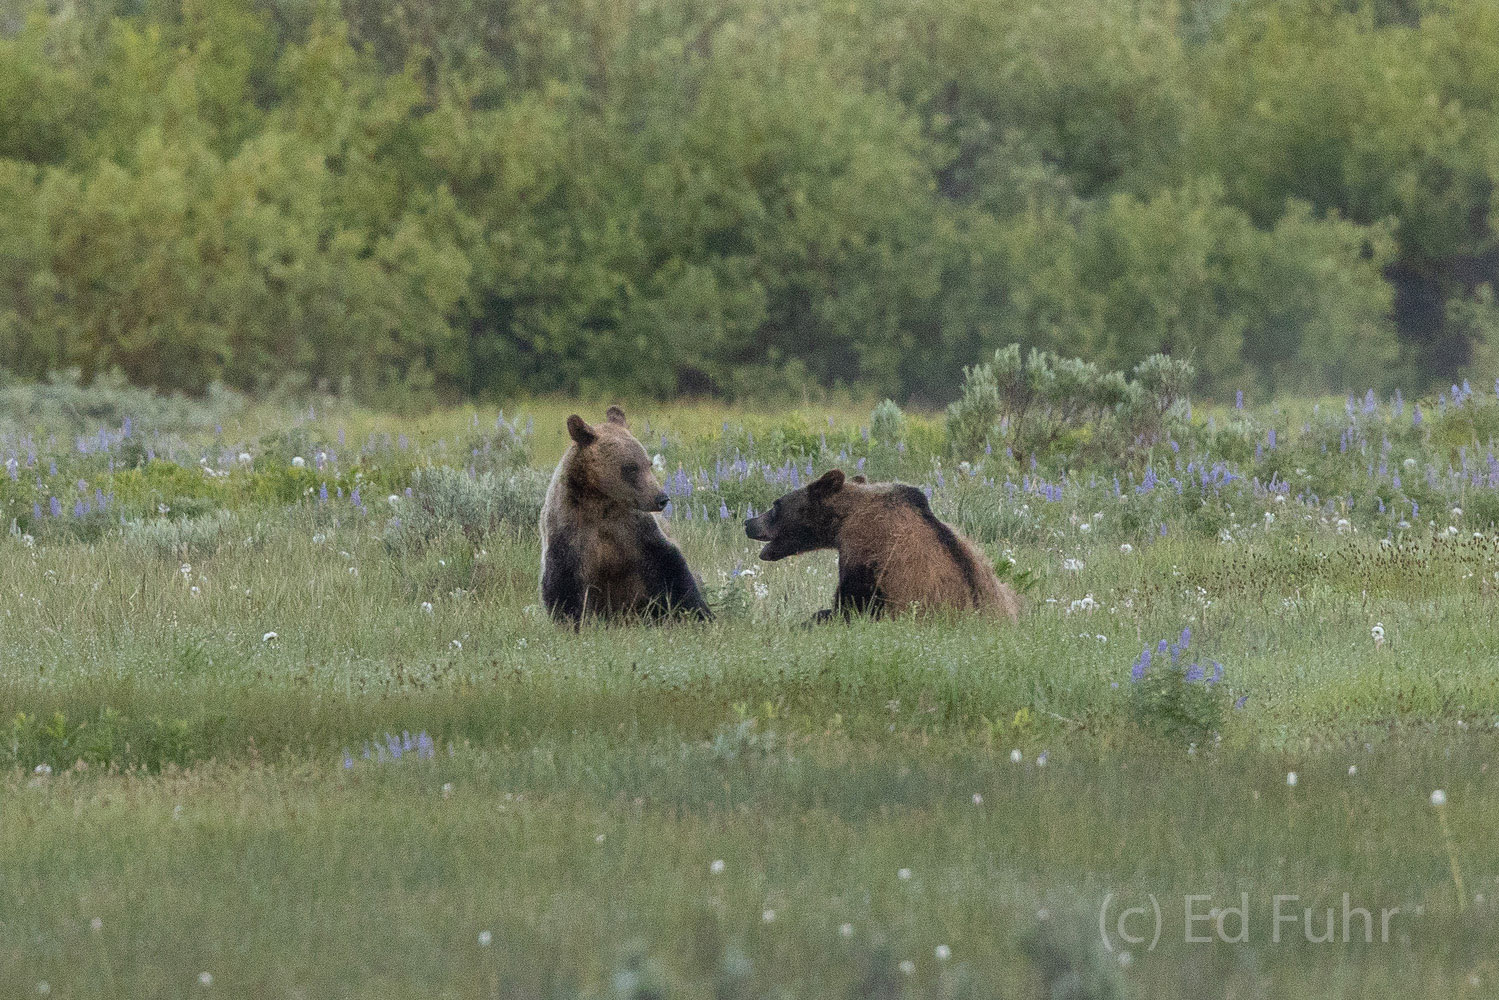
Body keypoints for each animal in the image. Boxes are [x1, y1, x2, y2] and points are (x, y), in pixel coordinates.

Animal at [539, 401, 707, 620]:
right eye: (630, 467)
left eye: (648, 463)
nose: (661, 498)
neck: (601, 503)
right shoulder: (570, 531)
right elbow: (563, 583)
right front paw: (573, 619)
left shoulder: (634, 529)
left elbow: (670, 566)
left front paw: (699, 614)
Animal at [746, 470, 1025, 617]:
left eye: (776, 505)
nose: (749, 522)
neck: (845, 520)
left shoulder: (868, 553)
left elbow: (851, 603)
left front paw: (817, 616)